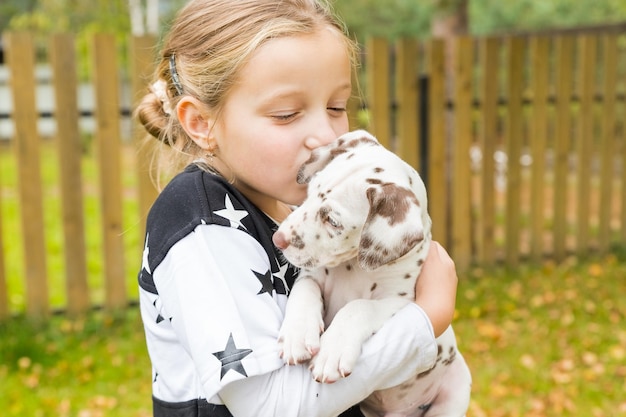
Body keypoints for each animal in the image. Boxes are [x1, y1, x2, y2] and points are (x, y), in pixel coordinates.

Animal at [272, 130, 468, 416]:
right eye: (308, 194)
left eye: (333, 221)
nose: (278, 239)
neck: (353, 268)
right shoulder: (312, 276)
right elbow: (304, 291)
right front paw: (296, 335)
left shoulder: (403, 301)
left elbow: (358, 306)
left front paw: (332, 350)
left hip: (456, 388)